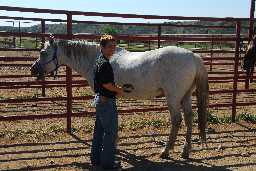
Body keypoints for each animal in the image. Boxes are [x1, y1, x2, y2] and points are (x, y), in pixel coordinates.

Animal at [31, 39, 209, 159]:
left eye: (43, 52)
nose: (33, 69)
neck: (97, 59)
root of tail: (193, 56)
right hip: (185, 96)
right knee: (189, 118)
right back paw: (185, 151)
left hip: (173, 97)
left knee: (177, 120)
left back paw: (165, 151)